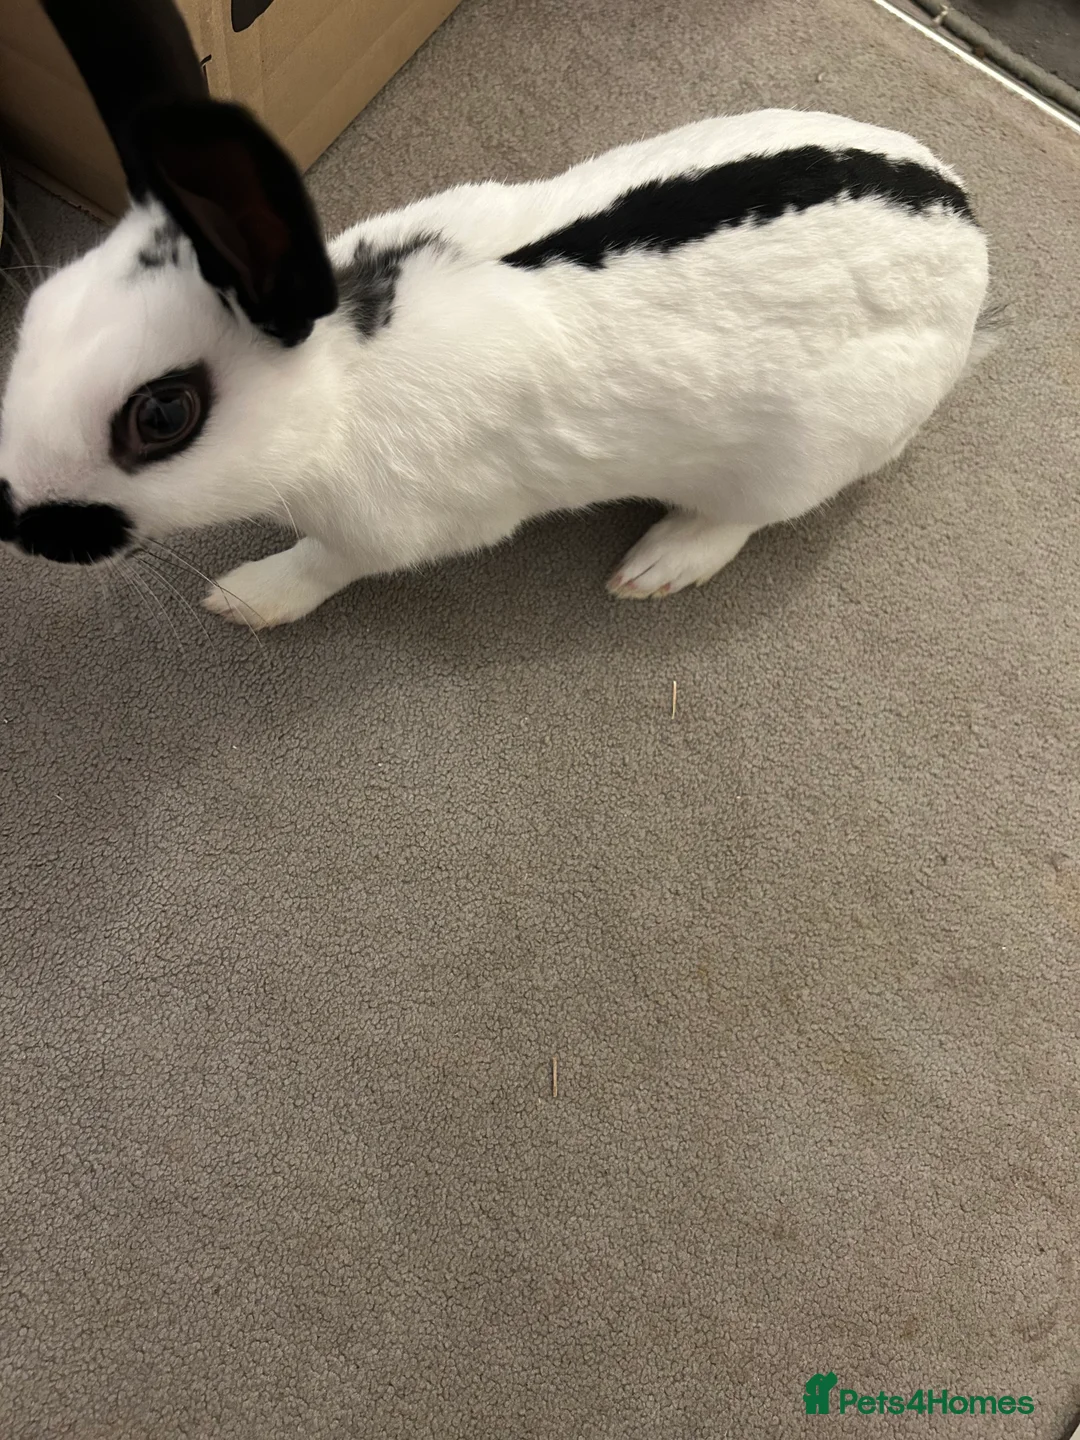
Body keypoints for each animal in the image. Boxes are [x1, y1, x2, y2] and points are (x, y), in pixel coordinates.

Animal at [0, 0, 992, 628]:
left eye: (163, 414)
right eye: (39, 309)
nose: (12, 522)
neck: (342, 385)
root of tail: (971, 243)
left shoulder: (394, 529)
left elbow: (325, 565)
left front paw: (244, 599)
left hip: (799, 456)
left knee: (743, 519)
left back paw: (657, 566)